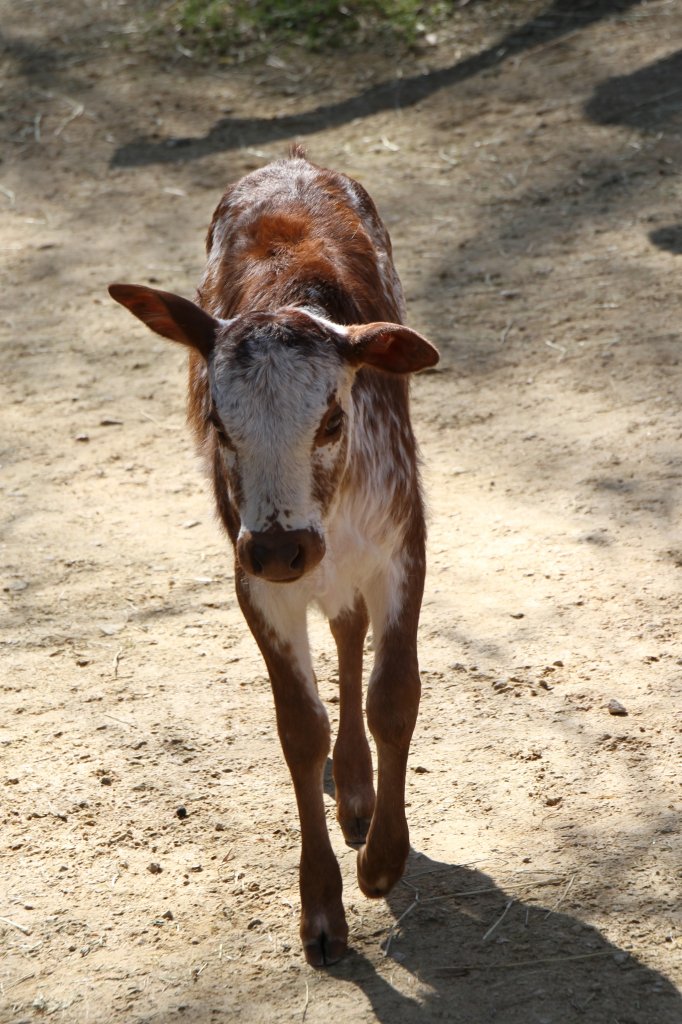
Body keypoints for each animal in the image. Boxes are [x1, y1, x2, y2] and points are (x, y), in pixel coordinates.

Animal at [106, 148, 436, 962]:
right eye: (219, 421)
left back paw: (360, 795)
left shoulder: (402, 543)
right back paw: (351, 788)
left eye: (332, 420)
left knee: (349, 629)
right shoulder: (251, 575)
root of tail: (291, 162)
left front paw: (383, 863)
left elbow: (393, 696)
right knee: (342, 628)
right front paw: (321, 911)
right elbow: (299, 727)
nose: (286, 545)